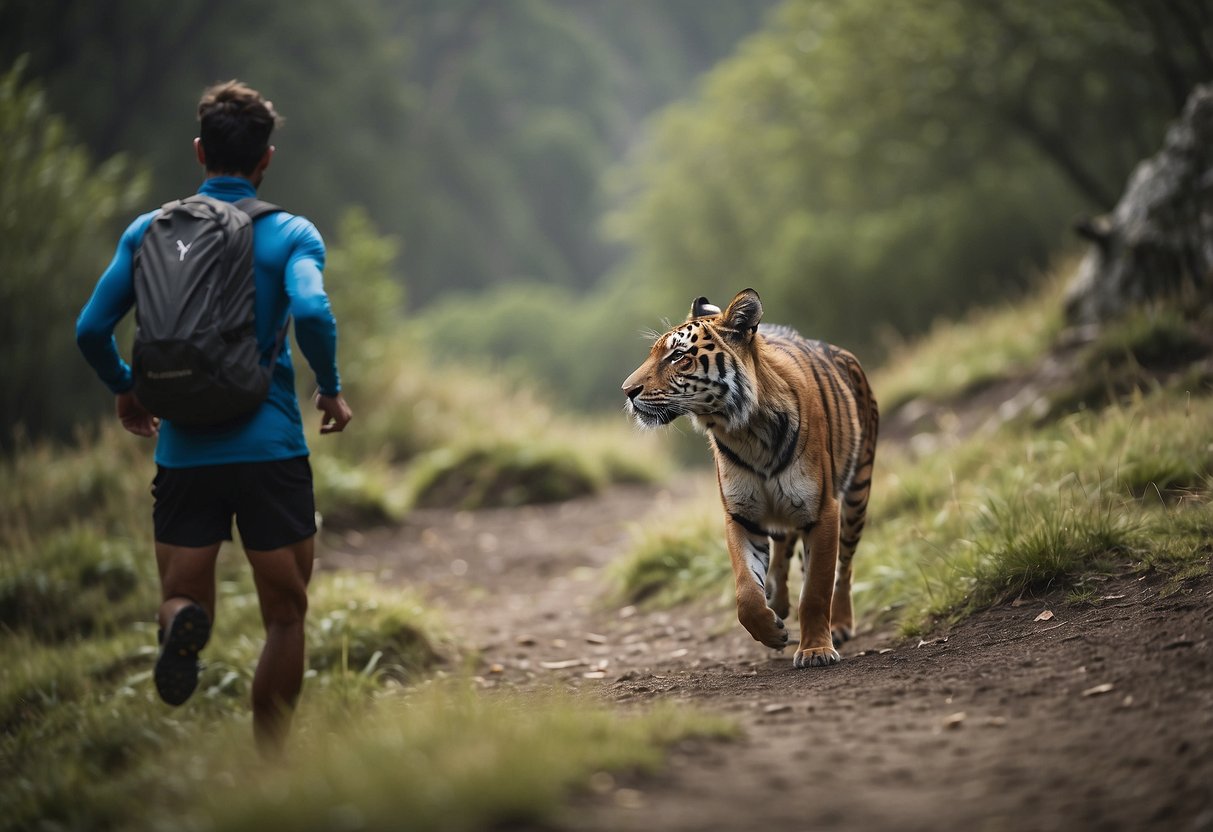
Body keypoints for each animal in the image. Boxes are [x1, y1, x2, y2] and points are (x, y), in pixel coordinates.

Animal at [621, 289, 878, 669]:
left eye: (678, 356)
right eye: (653, 353)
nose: (627, 391)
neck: (745, 430)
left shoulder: (822, 511)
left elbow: (816, 589)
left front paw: (815, 650)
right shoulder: (741, 514)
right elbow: (745, 592)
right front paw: (772, 631)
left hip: (856, 495)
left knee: (843, 568)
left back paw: (842, 623)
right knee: (784, 547)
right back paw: (778, 600)